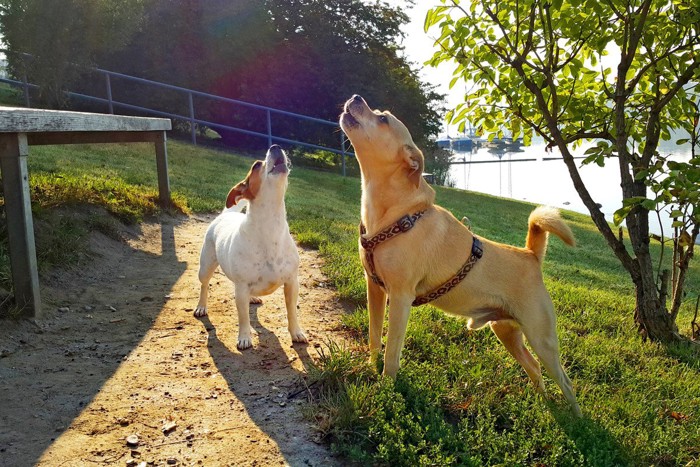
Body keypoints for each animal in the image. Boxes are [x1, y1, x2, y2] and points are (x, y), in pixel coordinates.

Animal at [196, 144, 308, 350]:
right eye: (256, 165)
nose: (275, 146)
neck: (270, 226)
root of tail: (226, 215)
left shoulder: (292, 283)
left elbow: (291, 312)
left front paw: (296, 333)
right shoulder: (241, 288)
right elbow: (243, 317)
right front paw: (244, 338)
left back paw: (253, 298)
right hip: (205, 267)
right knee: (204, 286)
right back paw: (201, 306)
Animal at [342, 95, 584, 416]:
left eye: (383, 119)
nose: (356, 98)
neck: (397, 215)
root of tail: (530, 255)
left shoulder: (401, 298)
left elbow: (392, 351)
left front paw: (386, 388)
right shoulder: (375, 290)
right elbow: (373, 336)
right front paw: (370, 368)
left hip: (541, 337)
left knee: (566, 382)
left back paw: (577, 420)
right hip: (507, 332)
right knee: (534, 368)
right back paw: (544, 404)